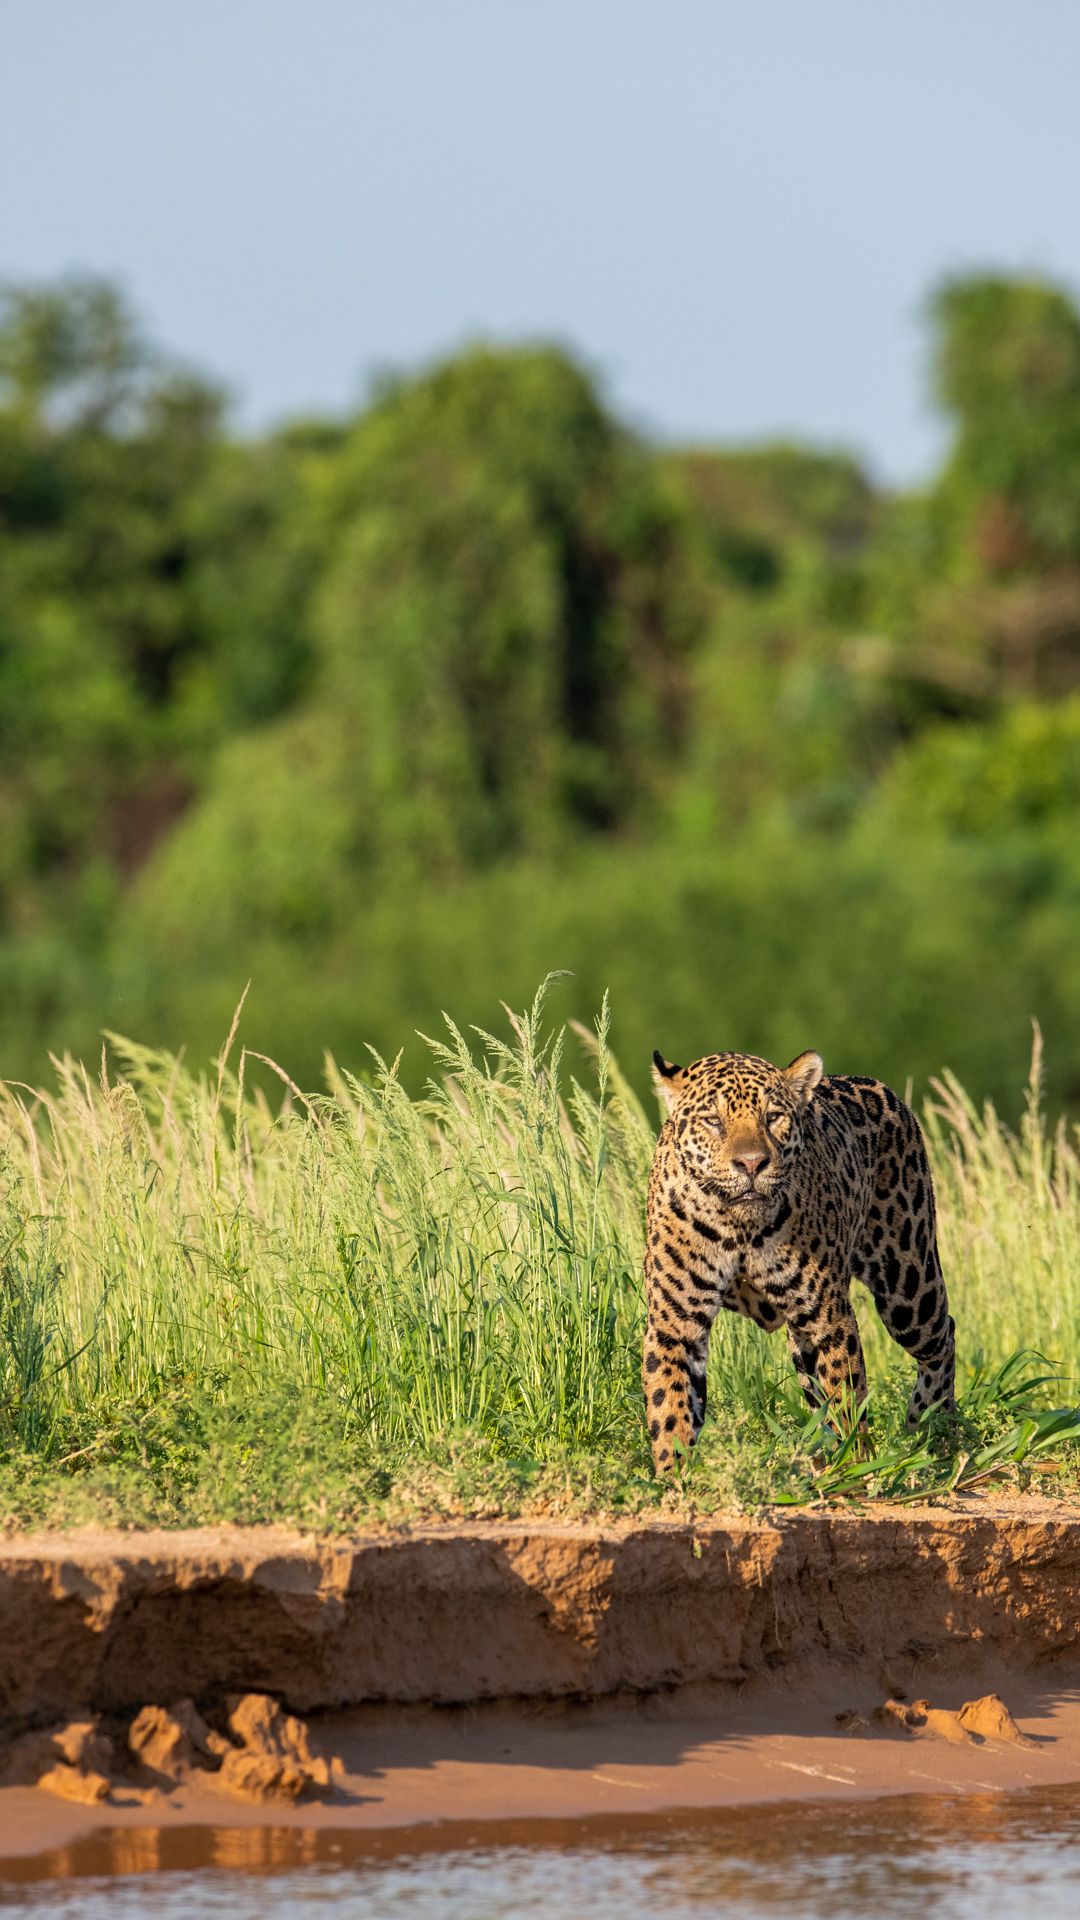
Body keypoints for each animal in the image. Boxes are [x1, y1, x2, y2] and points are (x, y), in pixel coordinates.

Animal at [642, 1046, 955, 1472]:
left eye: (773, 1117)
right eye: (713, 1121)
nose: (752, 1163)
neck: (739, 1226)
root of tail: (881, 1087)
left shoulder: (829, 1319)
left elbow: (847, 1398)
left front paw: (853, 1466)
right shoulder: (675, 1322)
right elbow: (670, 1405)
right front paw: (673, 1474)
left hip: (907, 1284)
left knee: (943, 1337)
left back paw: (934, 1426)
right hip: (802, 1336)